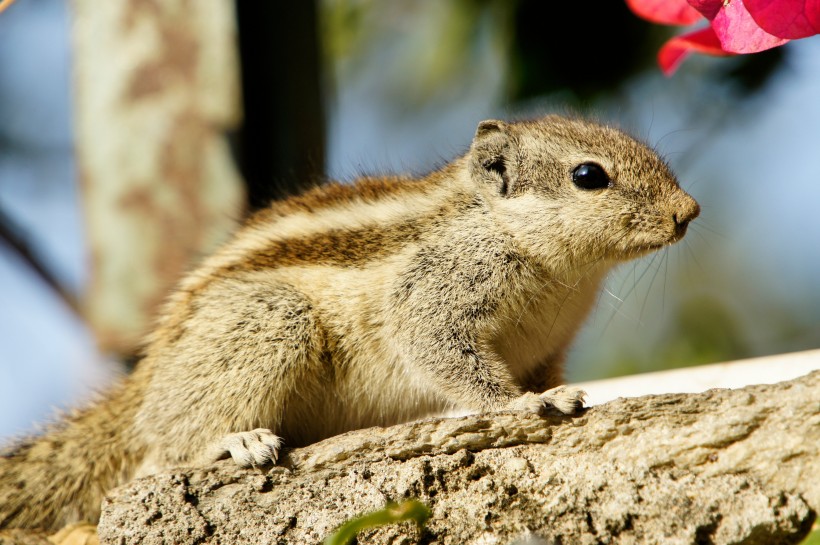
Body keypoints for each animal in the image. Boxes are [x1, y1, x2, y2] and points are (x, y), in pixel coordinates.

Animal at [0, 113, 700, 528]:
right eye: (588, 176)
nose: (688, 212)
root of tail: (144, 381)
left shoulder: (548, 346)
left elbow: (543, 371)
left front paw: (556, 395)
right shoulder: (432, 297)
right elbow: (447, 355)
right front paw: (524, 405)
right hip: (269, 322)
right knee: (171, 443)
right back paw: (237, 440)